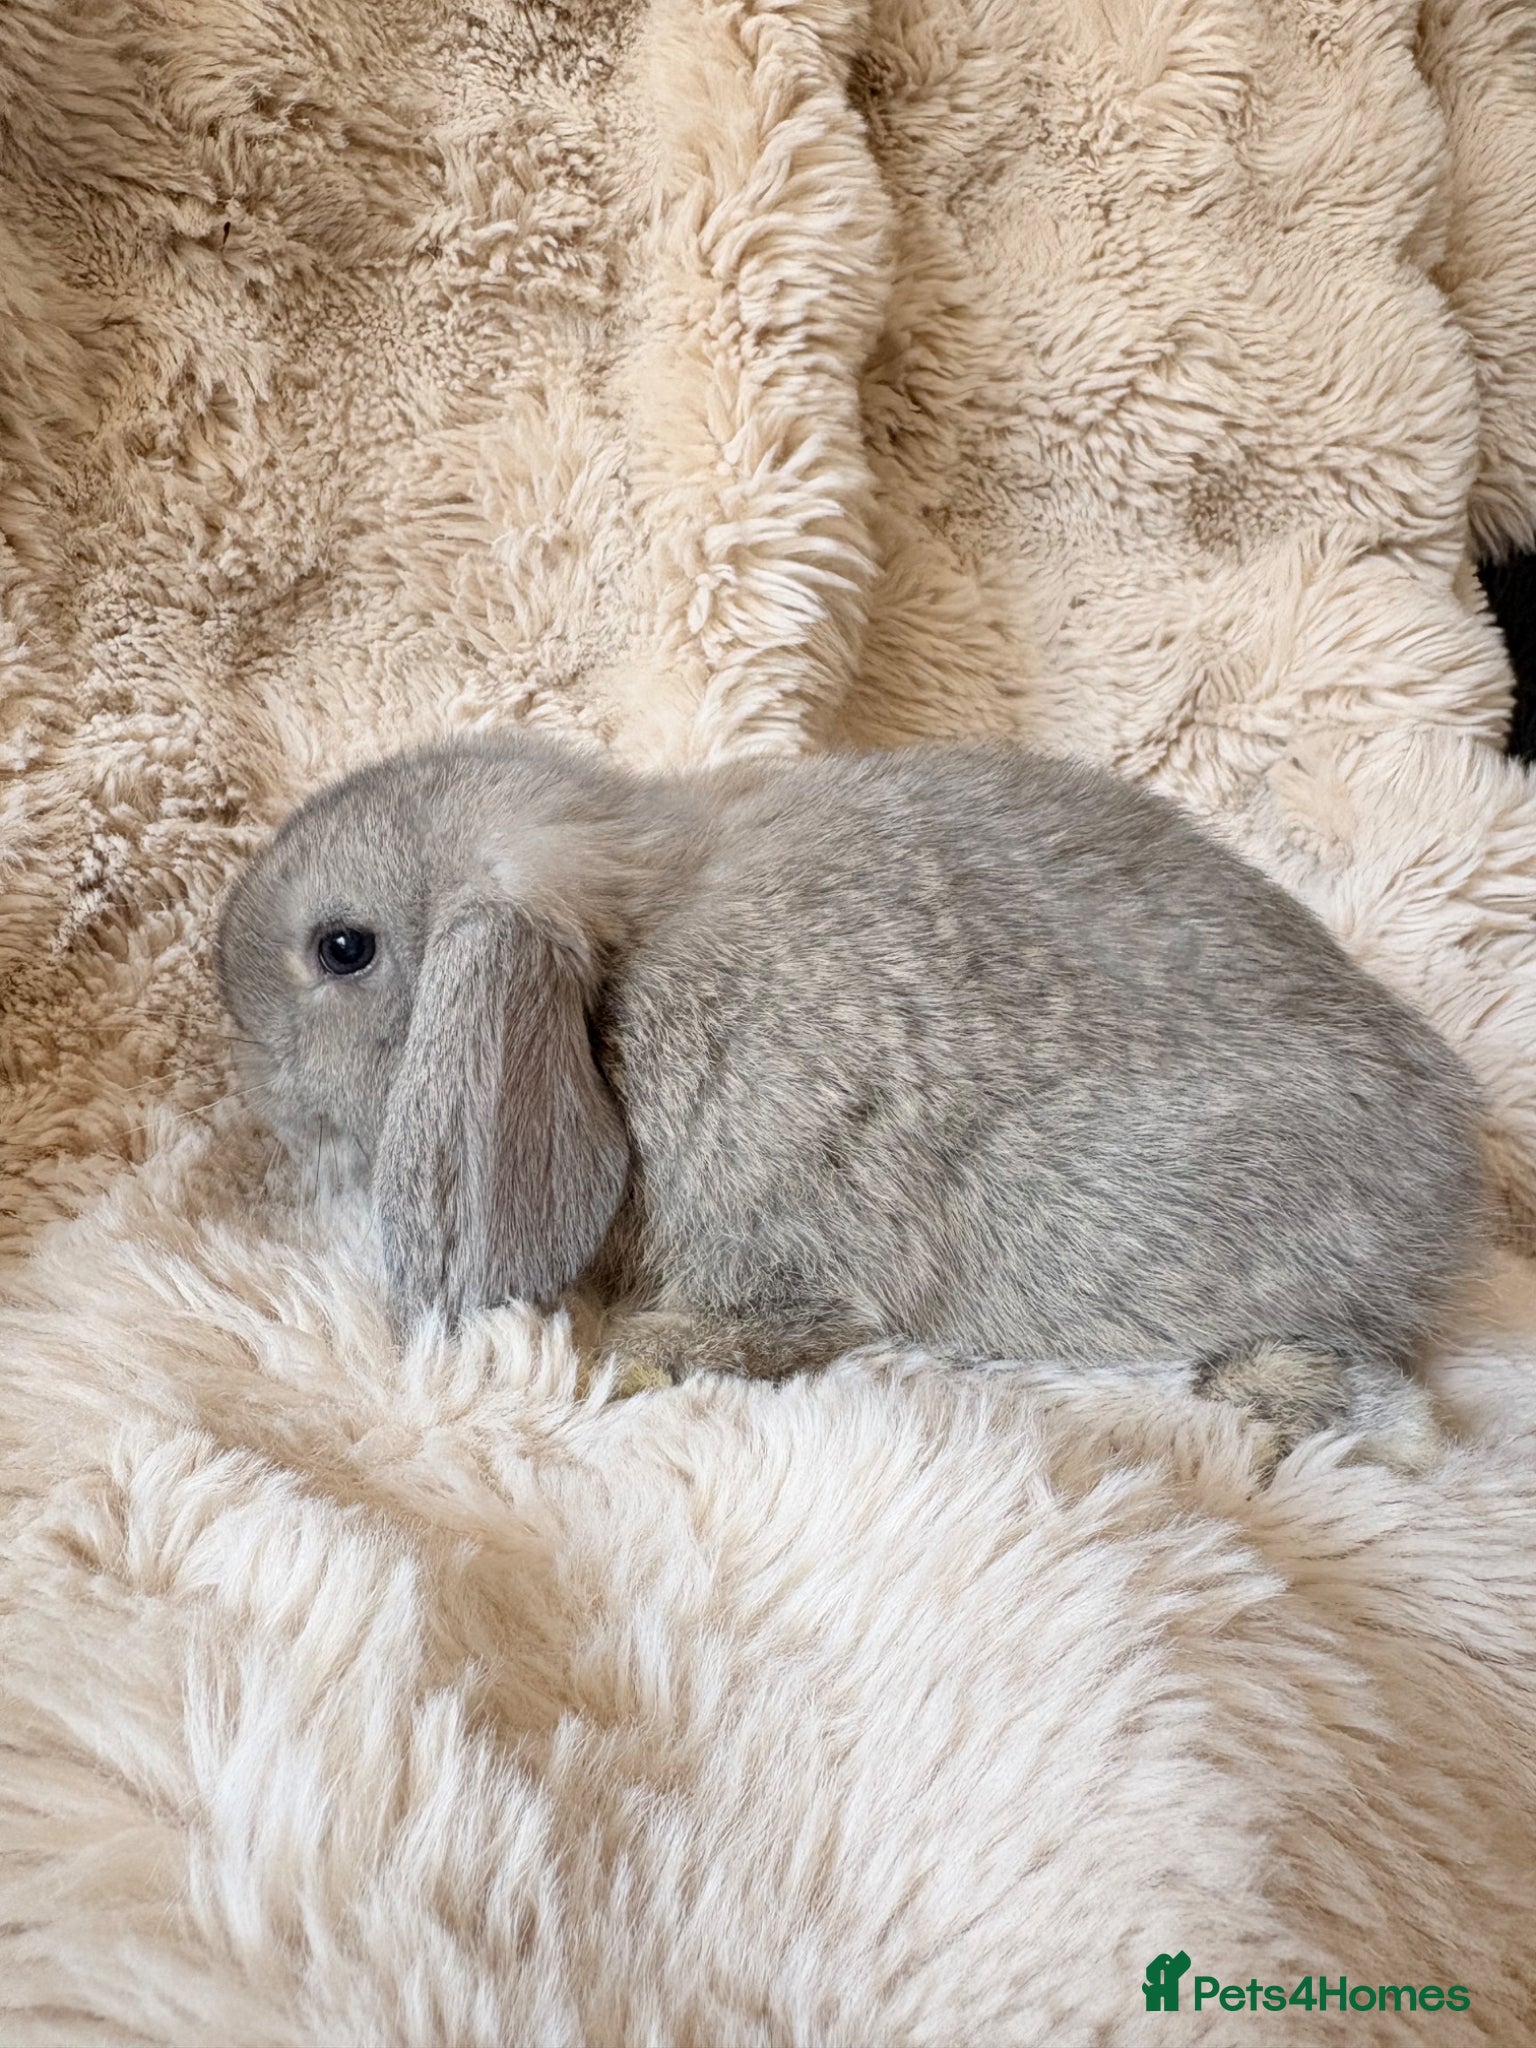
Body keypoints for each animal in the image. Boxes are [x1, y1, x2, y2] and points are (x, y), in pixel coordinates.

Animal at [216, 731, 1486, 1461]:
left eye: (341, 947)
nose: (232, 1028)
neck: (620, 976)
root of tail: (1457, 1178)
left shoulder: (784, 1230)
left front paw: (640, 1352)